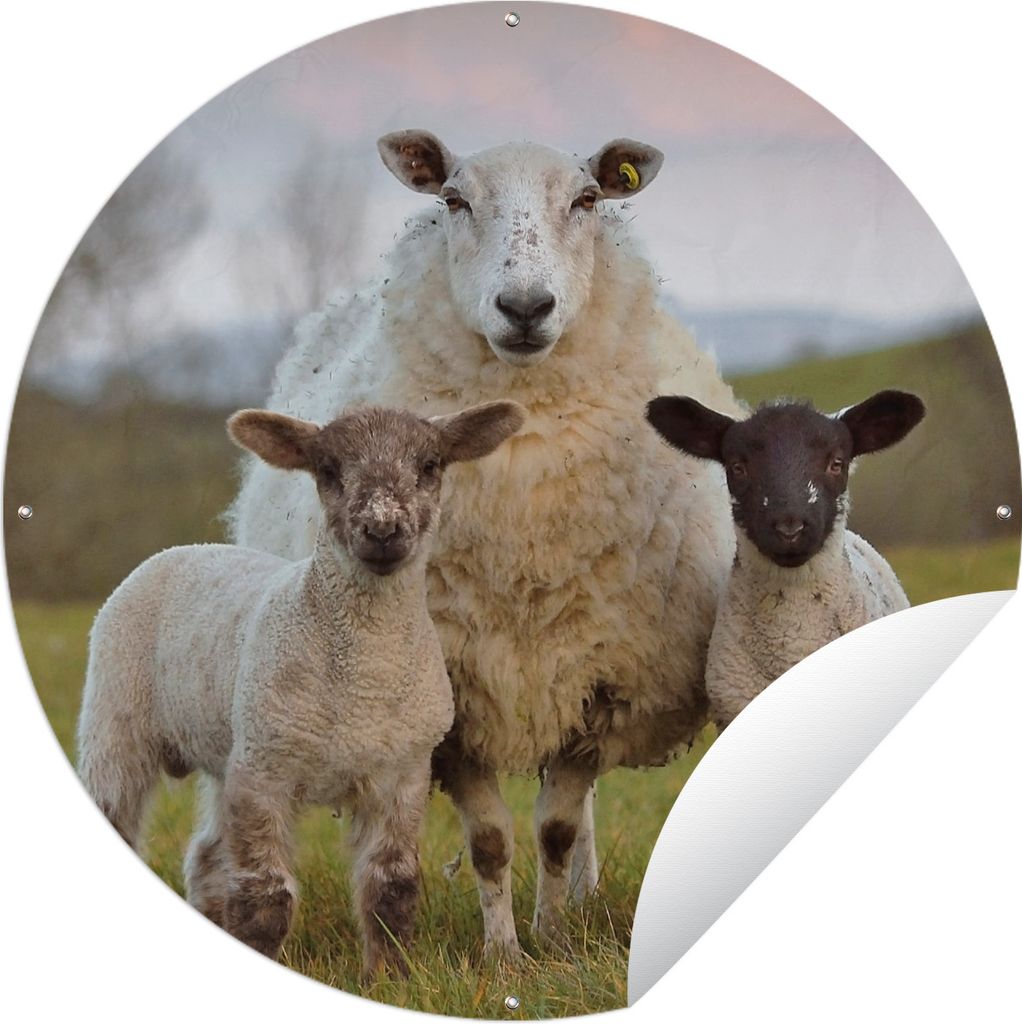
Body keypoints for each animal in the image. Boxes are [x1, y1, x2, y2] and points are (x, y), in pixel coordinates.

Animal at [76, 399, 526, 973]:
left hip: (227, 748)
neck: (363, 681)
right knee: (121, 816)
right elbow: (266, 896)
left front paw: (390, 977)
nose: (383, 530)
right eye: (328, 470)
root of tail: (188, 547)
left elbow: (392, 887)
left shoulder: (401, 773)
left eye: (429, 466)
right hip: (117, 717)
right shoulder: (264, 772)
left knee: (206, 857)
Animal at [227, 129, 743, 956]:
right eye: (453, 200)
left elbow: (557, 829)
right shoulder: (455, 697)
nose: (525, 307)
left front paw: (554, 938)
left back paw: (584, 898)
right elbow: (491, 842)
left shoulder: (597, 681)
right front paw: (501, 953)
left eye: (587, 199)